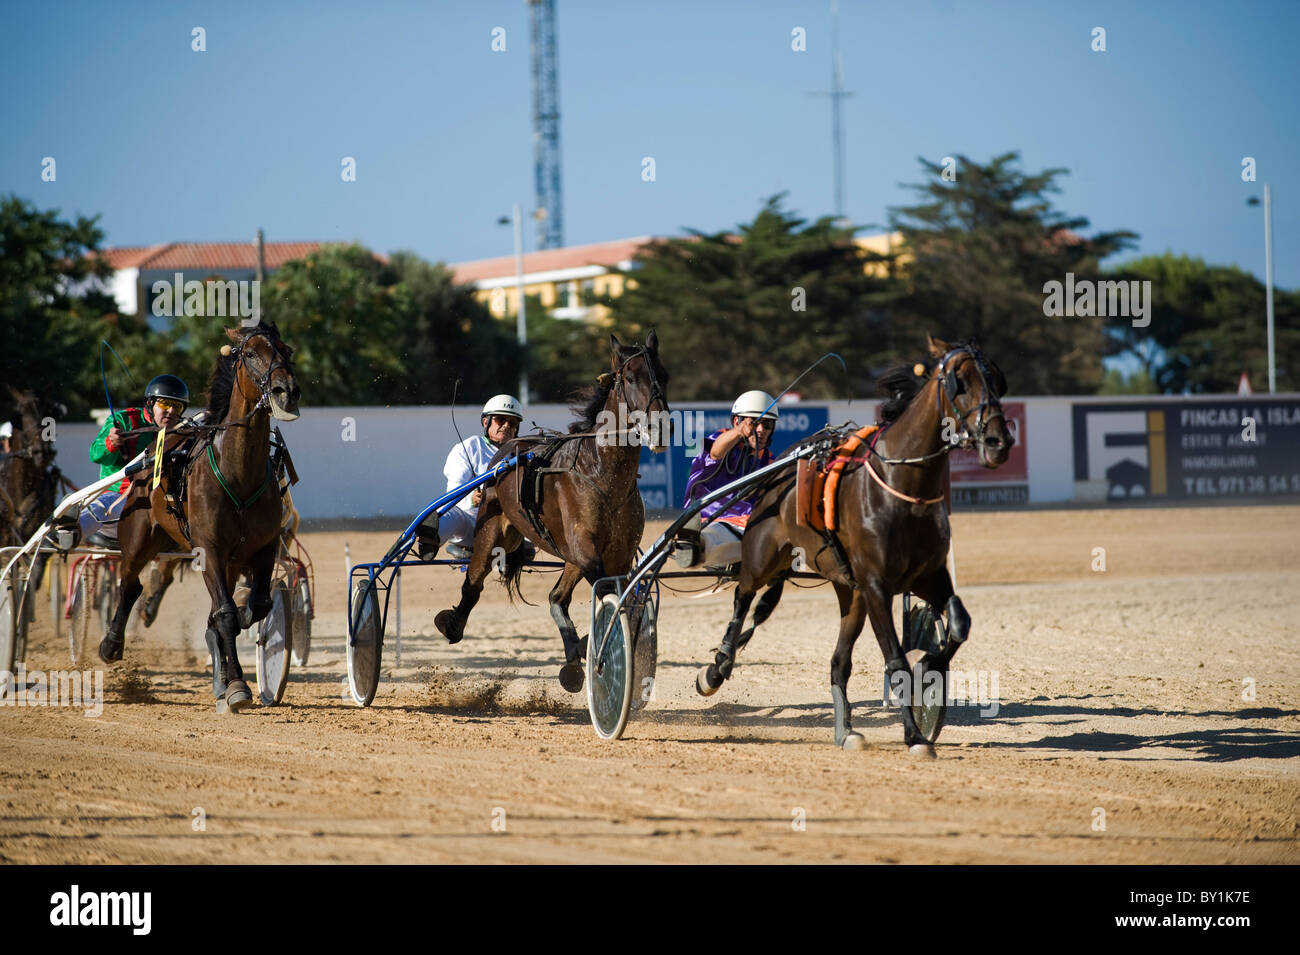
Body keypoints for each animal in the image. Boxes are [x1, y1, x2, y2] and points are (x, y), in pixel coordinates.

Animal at [99, 324, 301, 712]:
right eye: (250, 353)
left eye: (286, 350)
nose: (286, 390)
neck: (238, 472)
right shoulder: (209, 549)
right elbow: (225, 614)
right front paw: (236, 684)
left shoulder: (264, 547)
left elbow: (255, 605)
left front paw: (228, 673)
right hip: (138, 536)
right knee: (130, 583)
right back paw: (111, 644)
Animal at [441, 332, 676, 691]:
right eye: (630, 378)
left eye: (663, 376)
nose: (660, 427)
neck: (601, 473)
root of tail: (506, 453)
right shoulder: (586, 550)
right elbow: (606, 593)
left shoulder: (616, 554)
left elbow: (616, 594)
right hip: (492, 529)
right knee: (474, 581)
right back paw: (452, 623)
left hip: (566, 553)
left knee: (557, 597)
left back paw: (573, 661)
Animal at [696, 335, 1008, 753]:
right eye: (959, 381)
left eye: (996, 379)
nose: (998, 441)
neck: (901, 485)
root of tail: (778, 472)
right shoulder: (877, 586)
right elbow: (896, 660)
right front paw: (914, 736)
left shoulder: (928, 577)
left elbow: (958, 624)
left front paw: (931, 670)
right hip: (762, 556)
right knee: (743, 597)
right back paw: (718, 667)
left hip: (849, 590)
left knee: (837, 661)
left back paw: (845, 732)